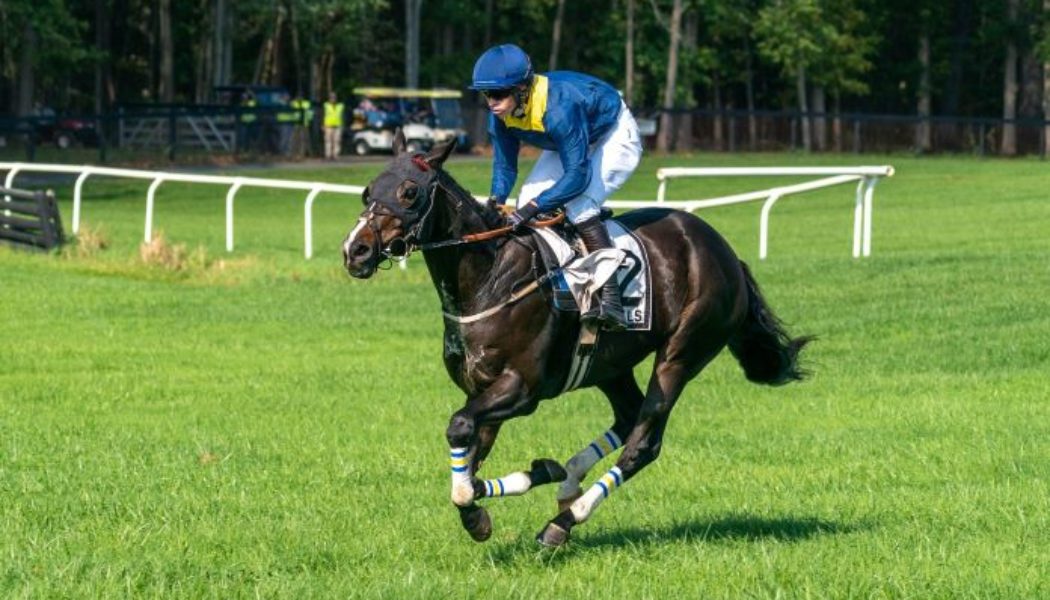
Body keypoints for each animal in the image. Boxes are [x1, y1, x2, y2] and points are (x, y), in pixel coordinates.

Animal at [341, 130, 811, 547]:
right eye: (367, 192)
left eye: (409, 192)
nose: (355, 251)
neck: (491, 278)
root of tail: (726, 251)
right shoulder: (481, 390)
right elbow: (470, 464)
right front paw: (513, 489)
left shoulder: (522, 389)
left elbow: (459, 430)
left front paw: (487, 507)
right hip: (610, 365)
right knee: (628, 416)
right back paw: (566, 479)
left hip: (681, 354)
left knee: (643, 443)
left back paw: (562, 523)